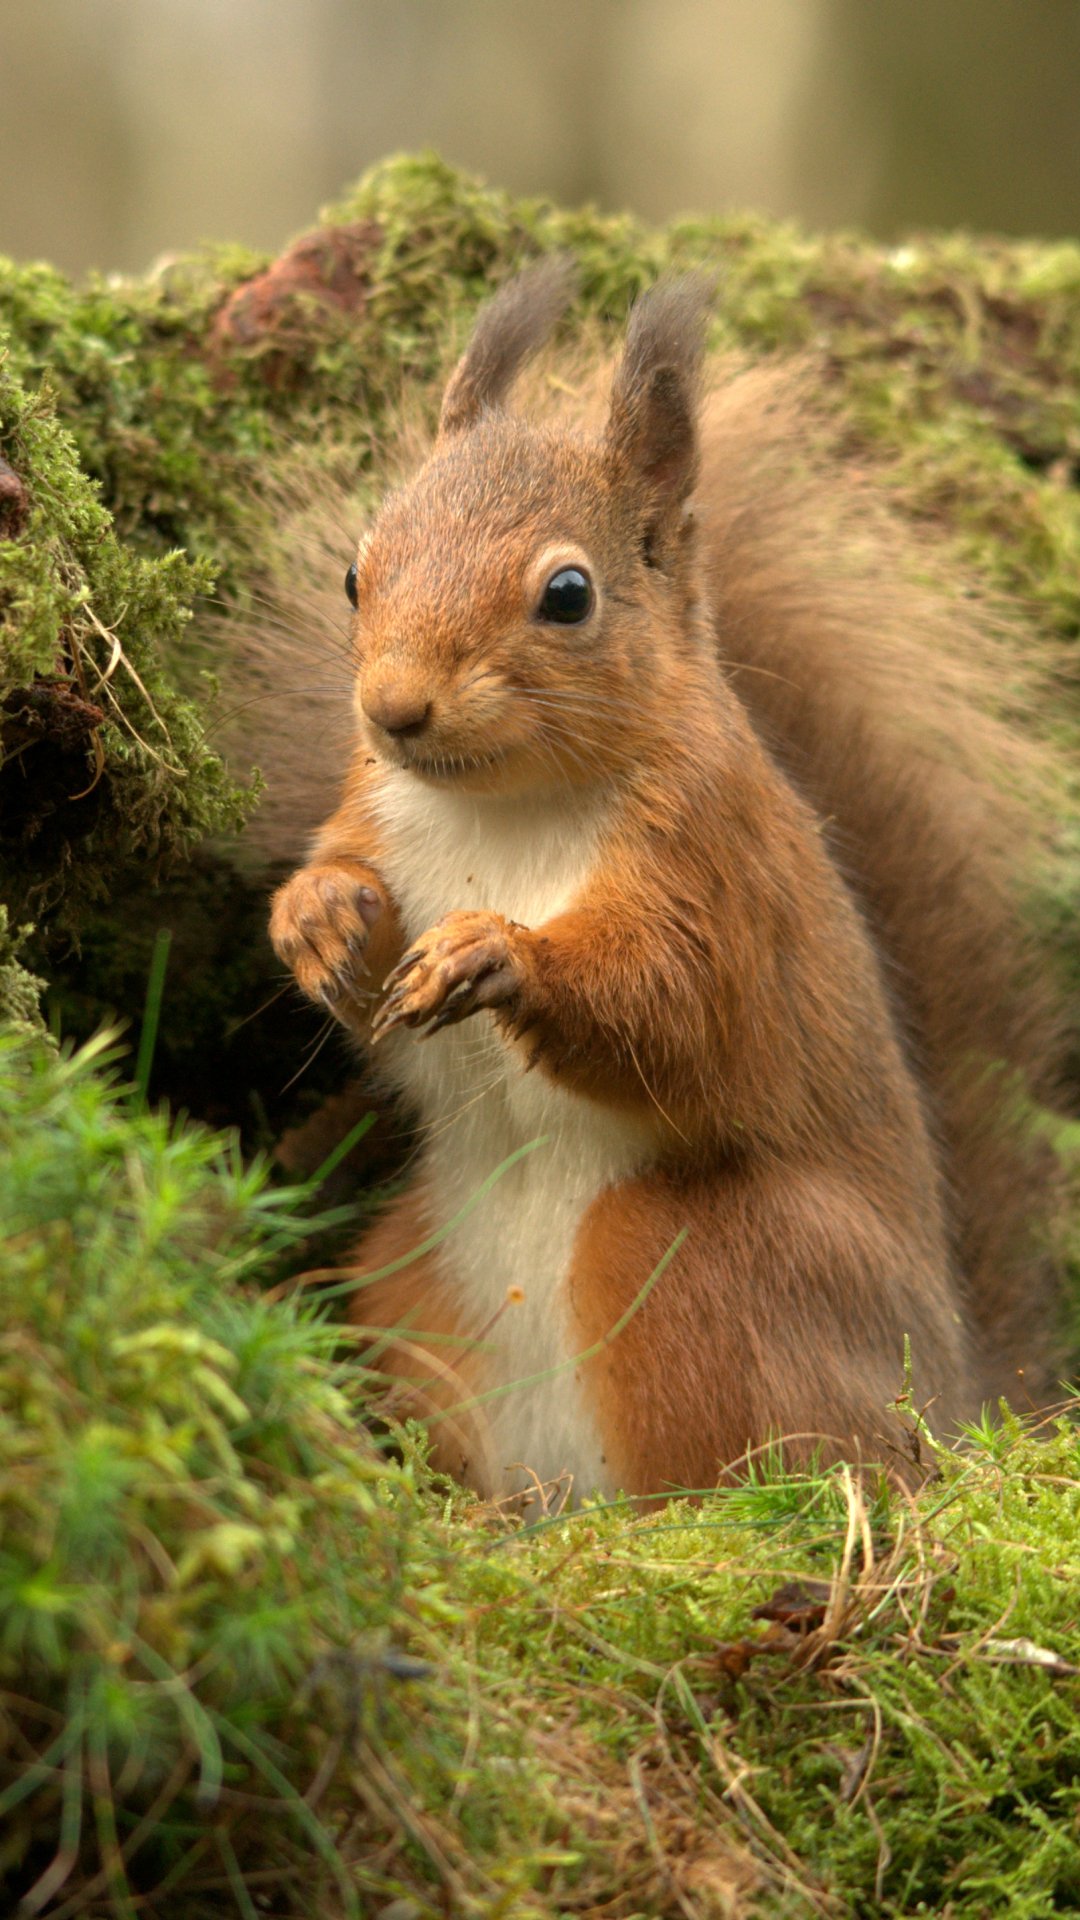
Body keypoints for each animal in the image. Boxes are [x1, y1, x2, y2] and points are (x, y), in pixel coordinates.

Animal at [267, 262, 1063, 1503]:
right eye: (357, 572)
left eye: (568, 594)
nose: (392, 708)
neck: (504, 810)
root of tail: (951, 1396)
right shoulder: (374, 812)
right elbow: (355, 934)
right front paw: (318, 917)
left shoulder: (713, 867)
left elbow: (677, 1007)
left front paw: (501, 953)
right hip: (409, 1281)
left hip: (697, 1263)